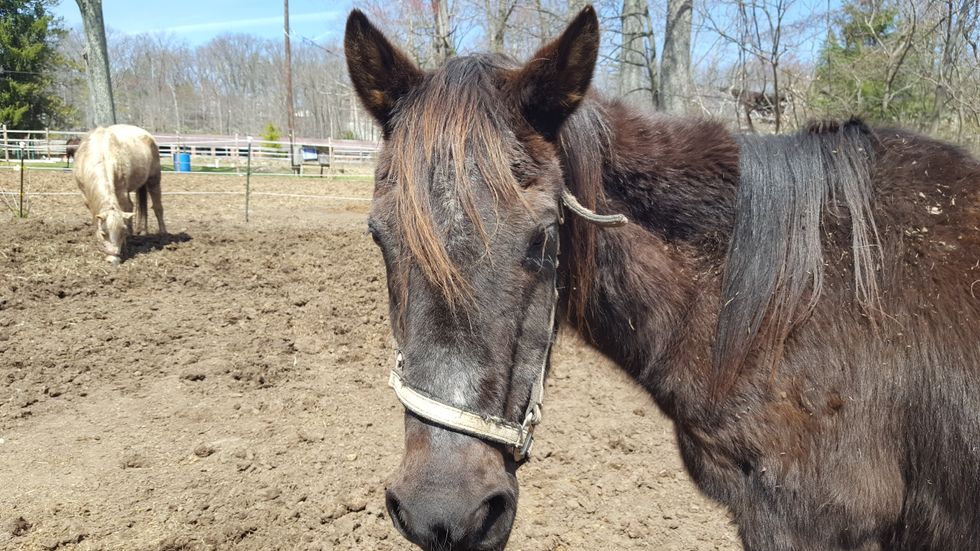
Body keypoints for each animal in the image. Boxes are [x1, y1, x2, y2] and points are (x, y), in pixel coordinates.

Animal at [73, 124, 166, 264]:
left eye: (122, 233)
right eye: (103, 234)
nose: (113, 260)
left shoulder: (121, 193)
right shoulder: (86, 196)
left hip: (154, 180)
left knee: (157, 207)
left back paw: (162, 233)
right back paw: (140, 231)